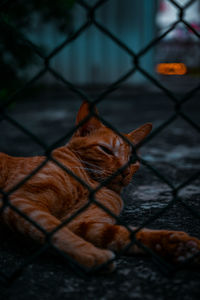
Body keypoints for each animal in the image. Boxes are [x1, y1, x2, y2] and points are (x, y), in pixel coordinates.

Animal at [0, 101, 199, 272]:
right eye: (106, 150)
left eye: (133, 160)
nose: (125, 171)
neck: (90, 183)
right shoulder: (23, 200)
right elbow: (55, 230)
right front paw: (92, 254)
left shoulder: (84, 224)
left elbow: (127, 234)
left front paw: (177, 245)